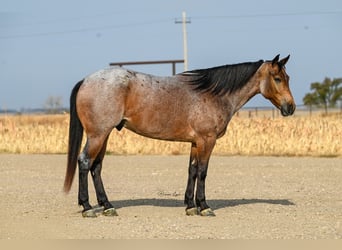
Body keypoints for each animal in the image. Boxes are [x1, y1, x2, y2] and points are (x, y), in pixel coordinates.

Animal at [62, 54, 296, 217]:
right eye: (277, 78)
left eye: (287, 78)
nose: (290, 107)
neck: (213, 94)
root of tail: (86, 80)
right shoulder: (207, 140)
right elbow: (202, 172)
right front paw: (204, 206)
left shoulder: (196, 142)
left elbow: (191, 171)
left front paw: (190, 206)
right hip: (98, 135)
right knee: (85, 162)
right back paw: (87, 207)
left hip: (104, 135)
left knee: (96, 167)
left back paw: (107, 206)